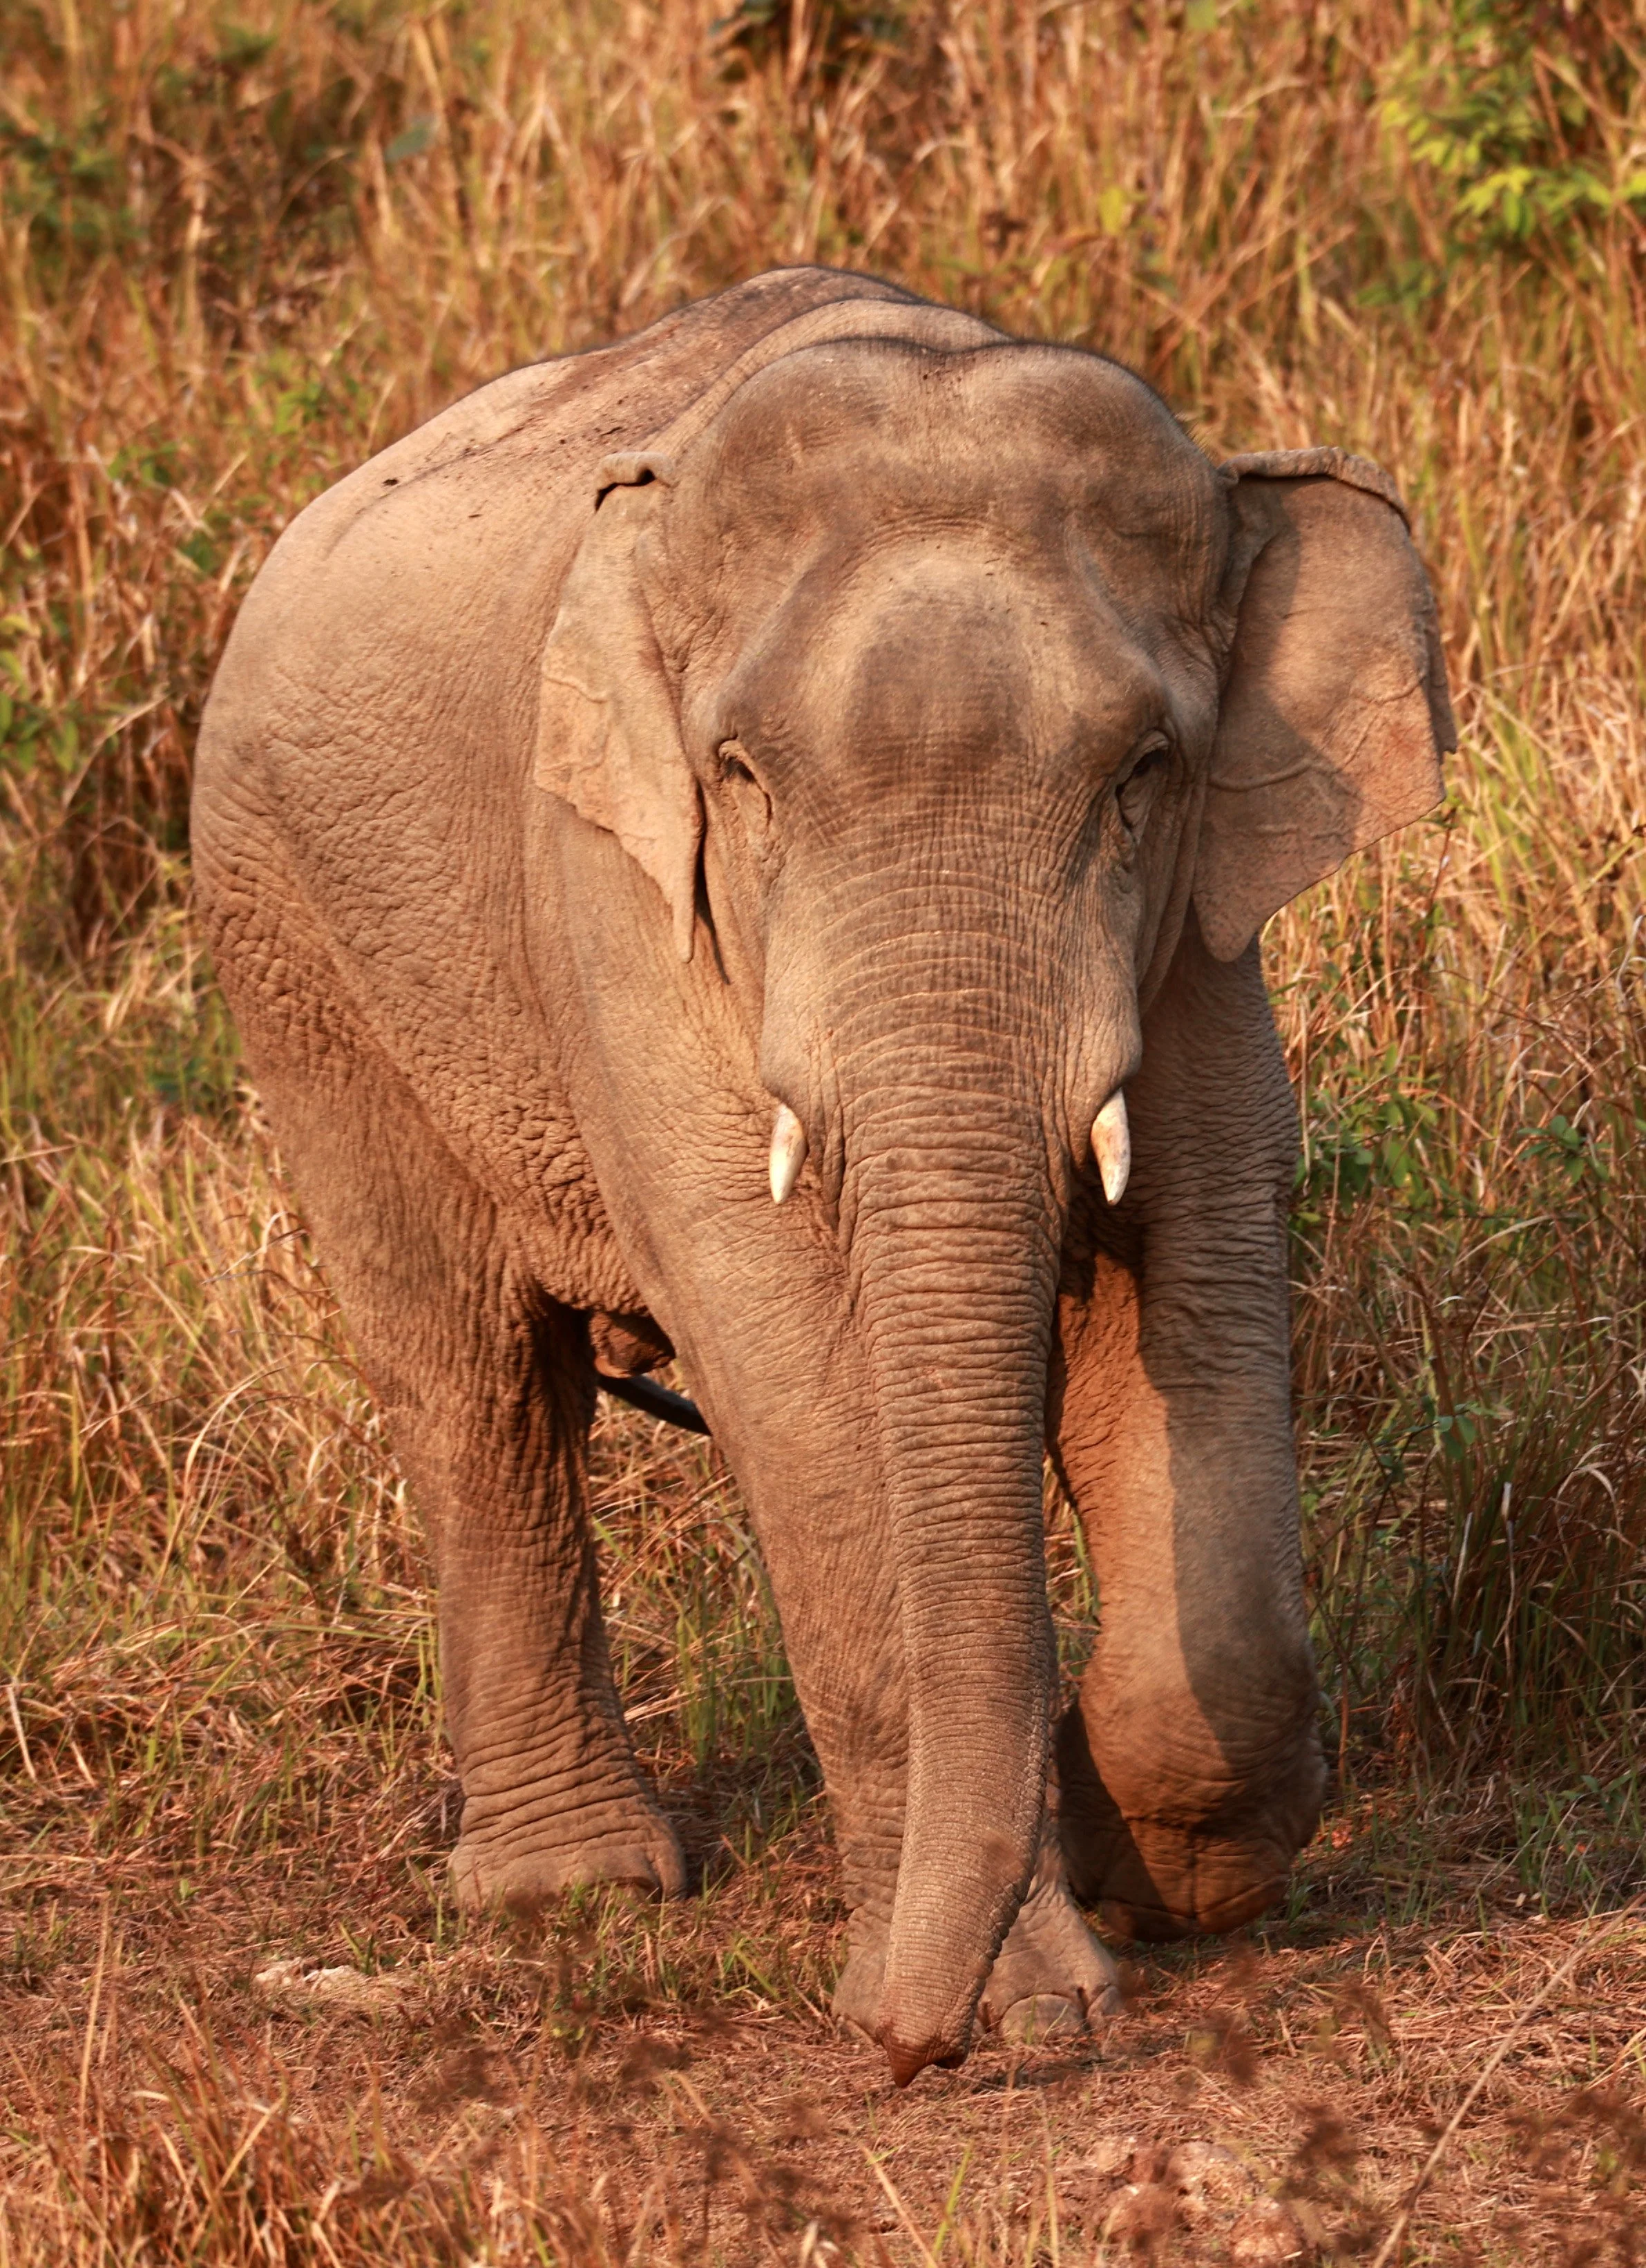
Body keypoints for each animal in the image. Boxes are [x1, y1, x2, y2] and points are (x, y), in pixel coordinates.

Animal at [192, 266, 1454, 2085]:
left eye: (1143, 772)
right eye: (740, 777)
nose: (891, 2042)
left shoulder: (1203, 948)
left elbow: (1194, 1278)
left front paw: (1146, 1869)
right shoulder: (620, 902)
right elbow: (785, 1348)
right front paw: (1031, 2008)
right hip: (290, 949)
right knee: (474, 1380)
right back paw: (574, 1893)